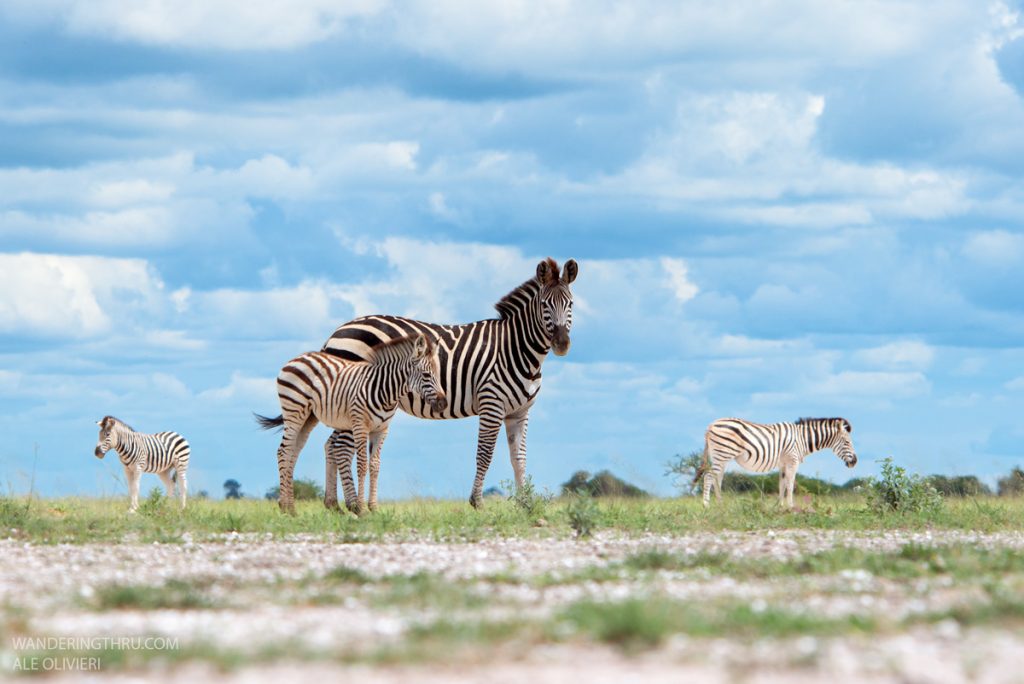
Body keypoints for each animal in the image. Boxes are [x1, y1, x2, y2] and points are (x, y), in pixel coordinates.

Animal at [255, 333, 447, 515]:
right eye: (426, 375)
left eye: (438, 375)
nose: (443, 404)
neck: (384, 390)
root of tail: (297, 358)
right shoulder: (360, 425)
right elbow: (362, 465)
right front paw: (361, 508)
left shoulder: (382, 430)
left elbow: (375, 466)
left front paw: (374, 508)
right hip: (294, 411)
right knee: (284, 452)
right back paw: (288, 508)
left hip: (309, 417)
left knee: (293, 453)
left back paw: (289, 507)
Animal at [320, 257, 578, 509]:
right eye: (544, 304)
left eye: (571, 304)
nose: (562, 344)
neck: (517, 349)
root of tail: (337, 331)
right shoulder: (491, 404)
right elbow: (485, 454)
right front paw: (477, 502)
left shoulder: (520, 412)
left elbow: (519, 458)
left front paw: (525, 505)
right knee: (341, 448)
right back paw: (352, 505)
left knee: (331, 445)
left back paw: (333, 504)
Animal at [696, 417, 857, 508]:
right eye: (847, 442)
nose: (855, 462)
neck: (802, 439)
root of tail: (711, 425)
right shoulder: (792, 460)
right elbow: (790, 485)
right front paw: (791, 507)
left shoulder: (783, 464)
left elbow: (782, 484)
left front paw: (779, 507)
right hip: (722, 454)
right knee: (708, 477)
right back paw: (706, 505)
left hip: (720, 456)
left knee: (717, 479)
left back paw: (720, 505)